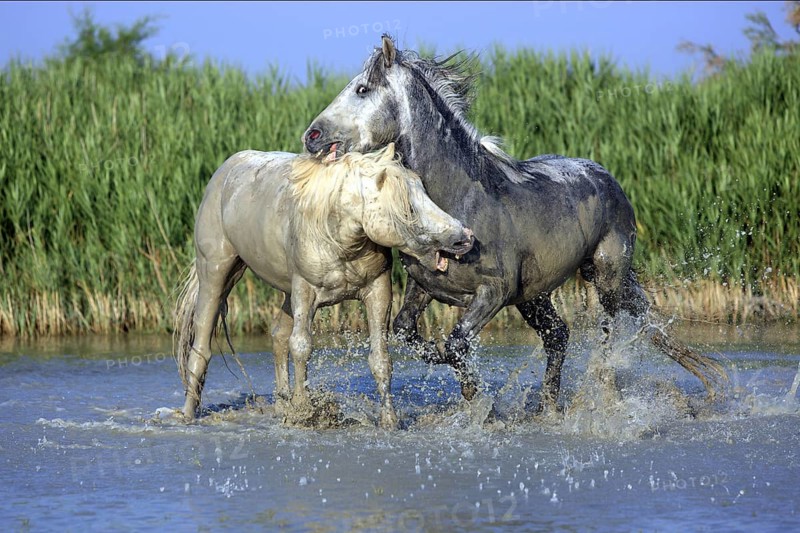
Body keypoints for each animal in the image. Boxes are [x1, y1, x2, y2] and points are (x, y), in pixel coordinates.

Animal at [173, 143, 475, 428]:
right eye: (409, 208)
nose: (465, 238)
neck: (340, 238)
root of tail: (226, 169)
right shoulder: (305, 291)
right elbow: (302, 347)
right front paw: (304, 412)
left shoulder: (378, 291)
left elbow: (380, 359)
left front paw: (389, 422)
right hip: (216, 273)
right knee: (201, 348)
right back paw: (188, 415)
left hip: (287, 292)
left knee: (278, 336)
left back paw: (282, 407)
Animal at [302, 35, 727, 412]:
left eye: (362, 89)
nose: (312, 136)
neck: (459, 201)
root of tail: (607, 179)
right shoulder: (426, 286)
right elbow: (409, 333)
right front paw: (470, 391)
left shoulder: (494, 291)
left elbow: (455, 344)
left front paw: (477, 398)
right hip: (534, 295)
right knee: (558, 336)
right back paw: (548, 408)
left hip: (606, 276)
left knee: (609, 330)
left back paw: (603, 389)